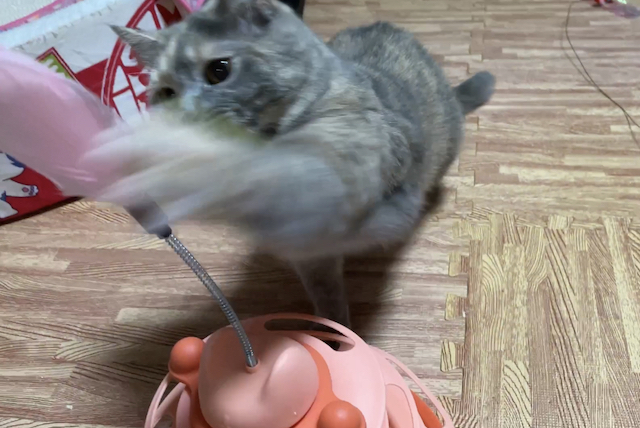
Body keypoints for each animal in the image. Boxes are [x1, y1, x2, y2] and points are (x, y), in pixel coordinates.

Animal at [97, 0, 495, 327]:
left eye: (219, 70)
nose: (185, 117)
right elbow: (325, 291)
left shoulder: (339, 181)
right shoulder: (311, 252)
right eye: (165, 92)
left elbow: (264, 177)